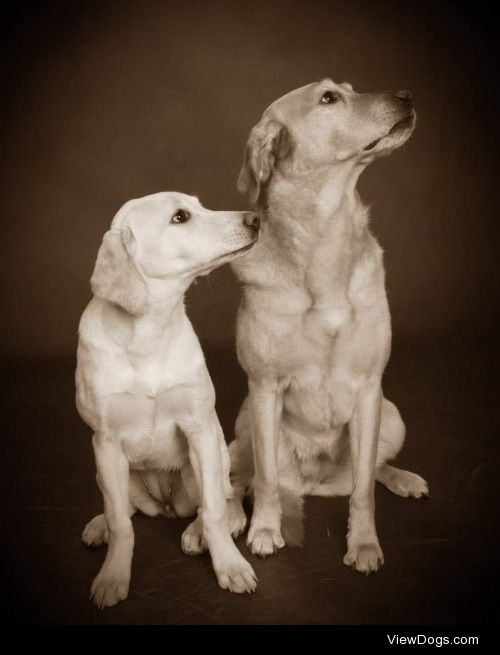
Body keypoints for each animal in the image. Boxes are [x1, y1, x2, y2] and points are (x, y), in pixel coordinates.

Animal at [77, 192, 262, 608]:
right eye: (180, 217)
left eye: (199, 206)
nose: (257, 219)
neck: (148, 331)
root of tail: (165, 505)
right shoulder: (105, 443)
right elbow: (121, 524)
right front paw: (113, 575)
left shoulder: (200, 430)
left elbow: (213, 511)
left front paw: (229, 565)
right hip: (107, 470)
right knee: (122, 509)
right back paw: (99, 526)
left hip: (208, 459)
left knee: (219, 498)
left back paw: (206, 530)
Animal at [230, 78, 430, 576]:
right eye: (327, 99)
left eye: (349, 89)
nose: (406, 95)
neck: (325, 239)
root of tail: (314, 481)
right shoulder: (264, 388)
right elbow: (265, 479)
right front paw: (265, 529)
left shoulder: (369, 387)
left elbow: (363, 491)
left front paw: (363, 543)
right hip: (244, 421)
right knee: (240, 475)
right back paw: (223, 521)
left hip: (391, 415)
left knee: (369, 471)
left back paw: (402, 478)